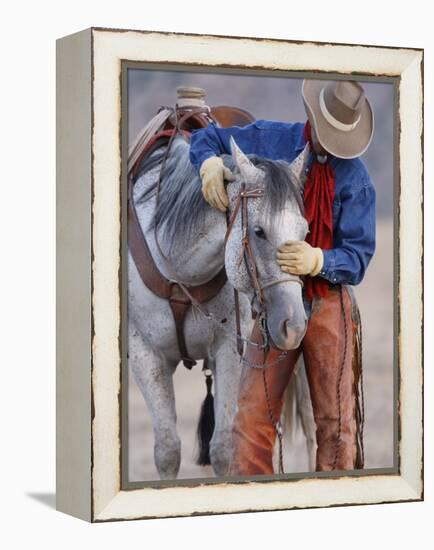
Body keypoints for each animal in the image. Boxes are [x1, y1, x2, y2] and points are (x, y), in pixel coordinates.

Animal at [129, 136, 312, 480]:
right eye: (258, 232)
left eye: (305, 233)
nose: (293, 326)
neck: (180, 272)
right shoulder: (145, 355)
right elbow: (168, 450)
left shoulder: (229, 350)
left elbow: (223, 448)